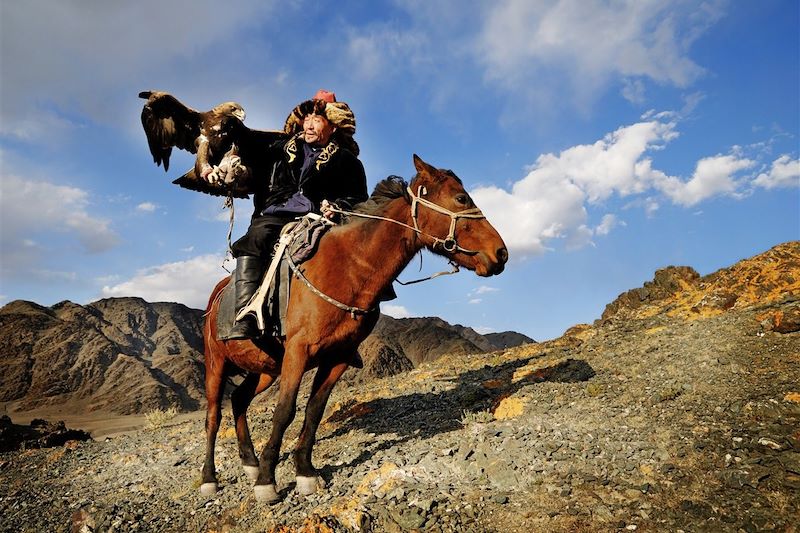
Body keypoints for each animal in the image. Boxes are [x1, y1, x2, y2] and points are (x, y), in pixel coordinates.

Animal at [198, 155, 506, 502]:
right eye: (461, 198)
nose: (501, 253)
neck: (348, 267)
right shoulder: (298, 351)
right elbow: (285, 410)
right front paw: (267, 481)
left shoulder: (338, 357)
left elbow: (314, 410)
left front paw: (305, 472)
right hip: (217, 364)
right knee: (213, 416)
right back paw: (210, 478)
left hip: (265, 367)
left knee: (239, 400)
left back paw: (249, 463)